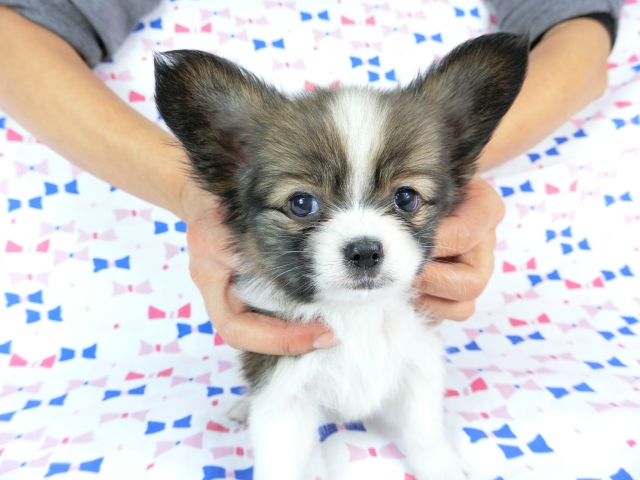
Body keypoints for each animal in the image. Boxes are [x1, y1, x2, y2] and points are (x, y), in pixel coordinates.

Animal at [154, 32, 528, 480]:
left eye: (406, 197)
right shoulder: (283, 391)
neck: (356, 315)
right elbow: (281, 461)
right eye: (301, 204)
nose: (365, 251)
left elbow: (425, 433)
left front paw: (443, 468)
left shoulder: (417, 366)